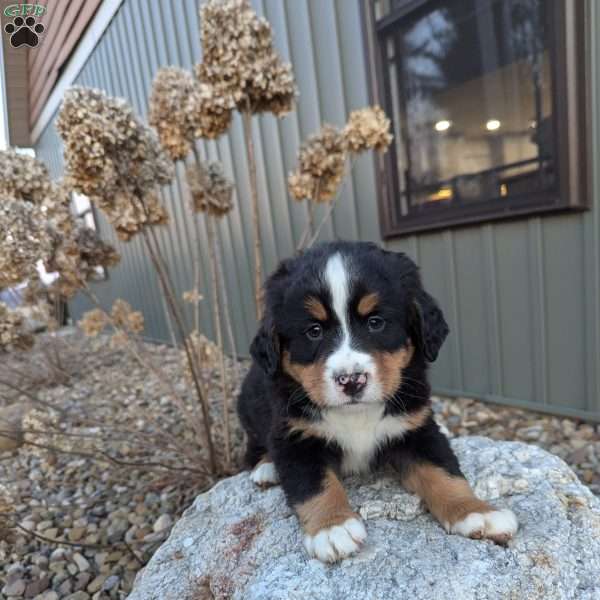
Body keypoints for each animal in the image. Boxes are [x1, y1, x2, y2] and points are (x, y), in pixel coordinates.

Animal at [237, 240, 516, 564]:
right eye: (314, 330)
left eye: (375, 322)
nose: (351, 380)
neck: (357, 415)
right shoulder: (295, 437)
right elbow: (314, 484)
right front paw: (332, 527)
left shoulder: (416, 428)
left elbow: (444, 472)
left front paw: (476, 512)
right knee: (256, 445)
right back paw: (267, 468)